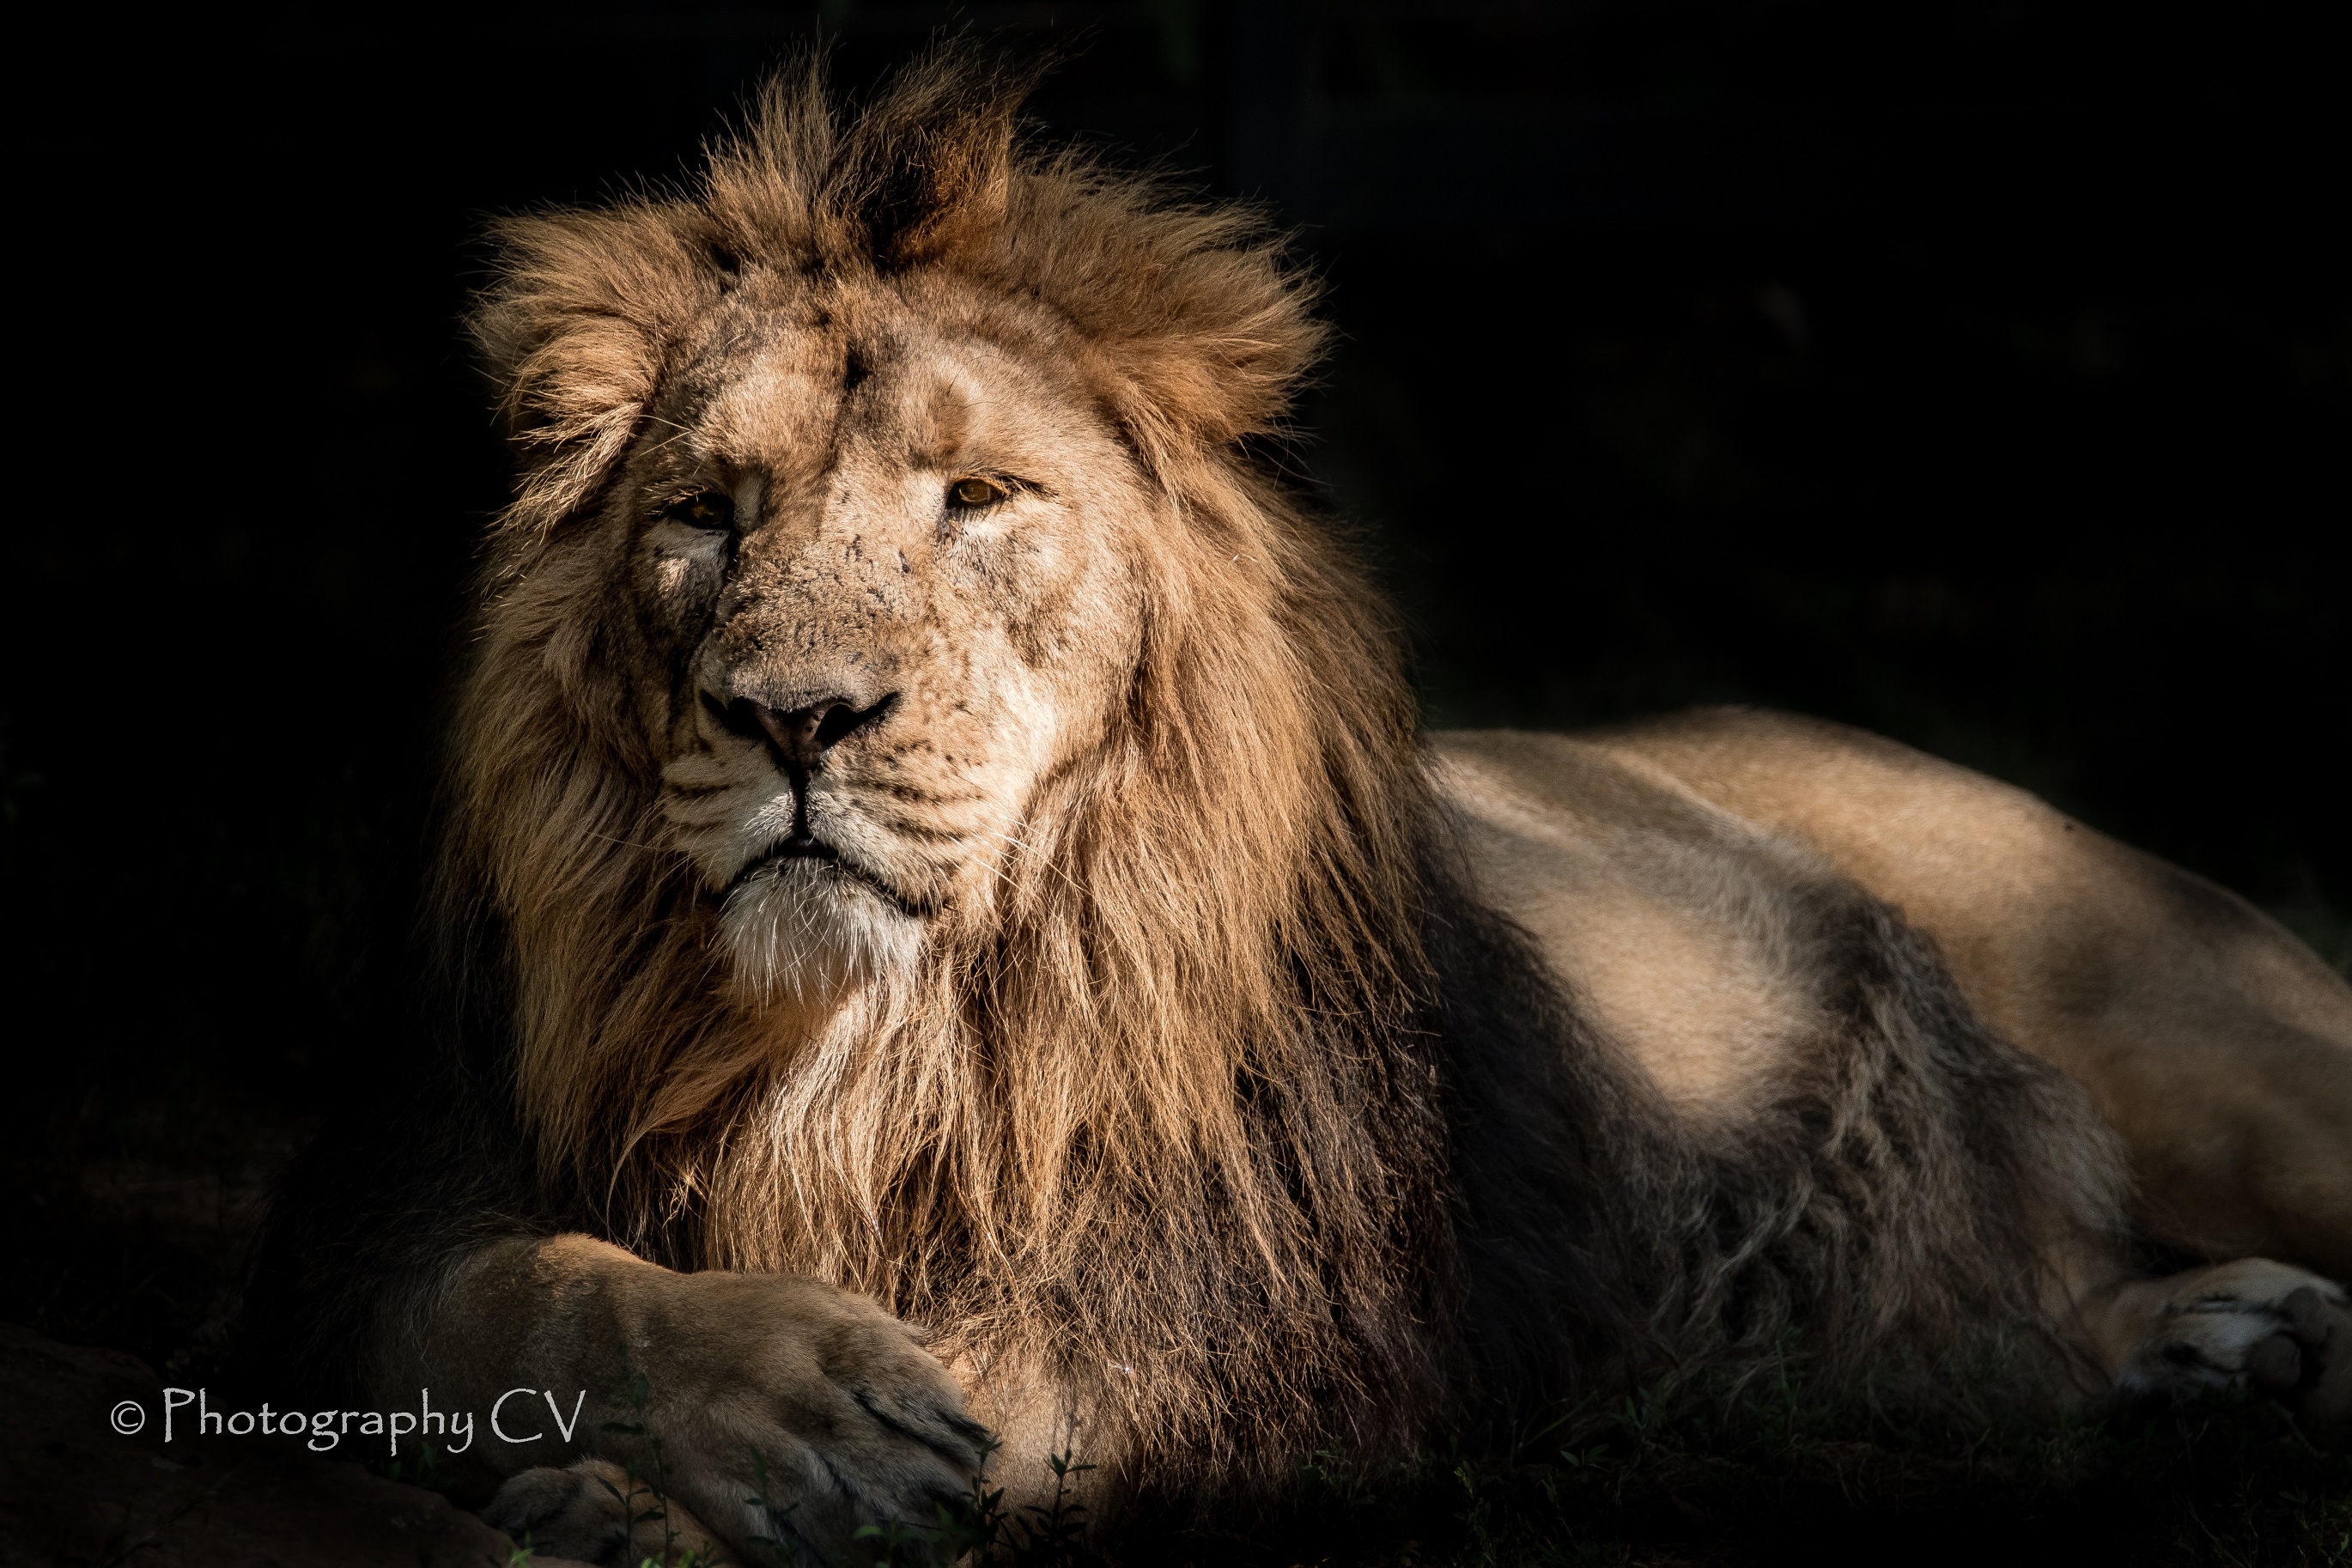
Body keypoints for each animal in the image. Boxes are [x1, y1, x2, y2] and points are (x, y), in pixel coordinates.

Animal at [238, 49, 2352, 1566]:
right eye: (702, 511)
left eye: (977, 499)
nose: (792, 718)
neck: (867, 1043)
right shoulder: (401, 1192)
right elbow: (517, 1297)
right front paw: (714, 1423)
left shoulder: (1232, 1321)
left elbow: (1011, 1411)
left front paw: (694, 1486)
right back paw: (2217, 1358)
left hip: (2219, 1057)